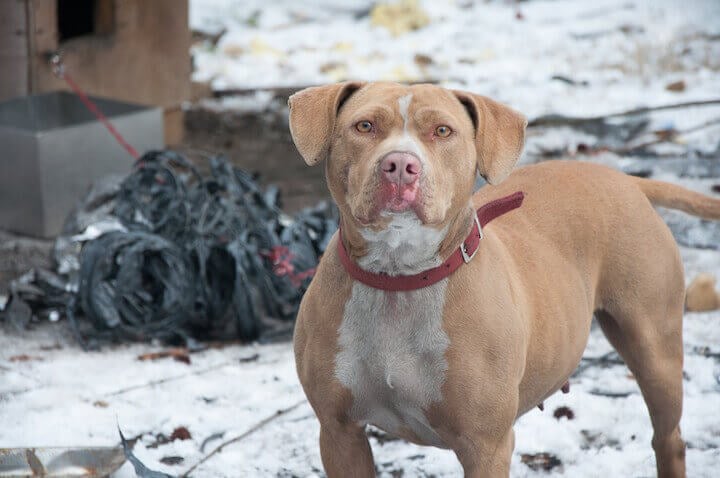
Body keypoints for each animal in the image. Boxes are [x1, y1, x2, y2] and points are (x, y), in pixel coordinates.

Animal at [286, 80, 720, 476]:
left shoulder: (486, 445)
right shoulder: (339, 433)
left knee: (668, 436)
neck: (400, 277)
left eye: (442, 131)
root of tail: (624, 178)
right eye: (365, 126)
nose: (400, 166)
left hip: (654, 348)